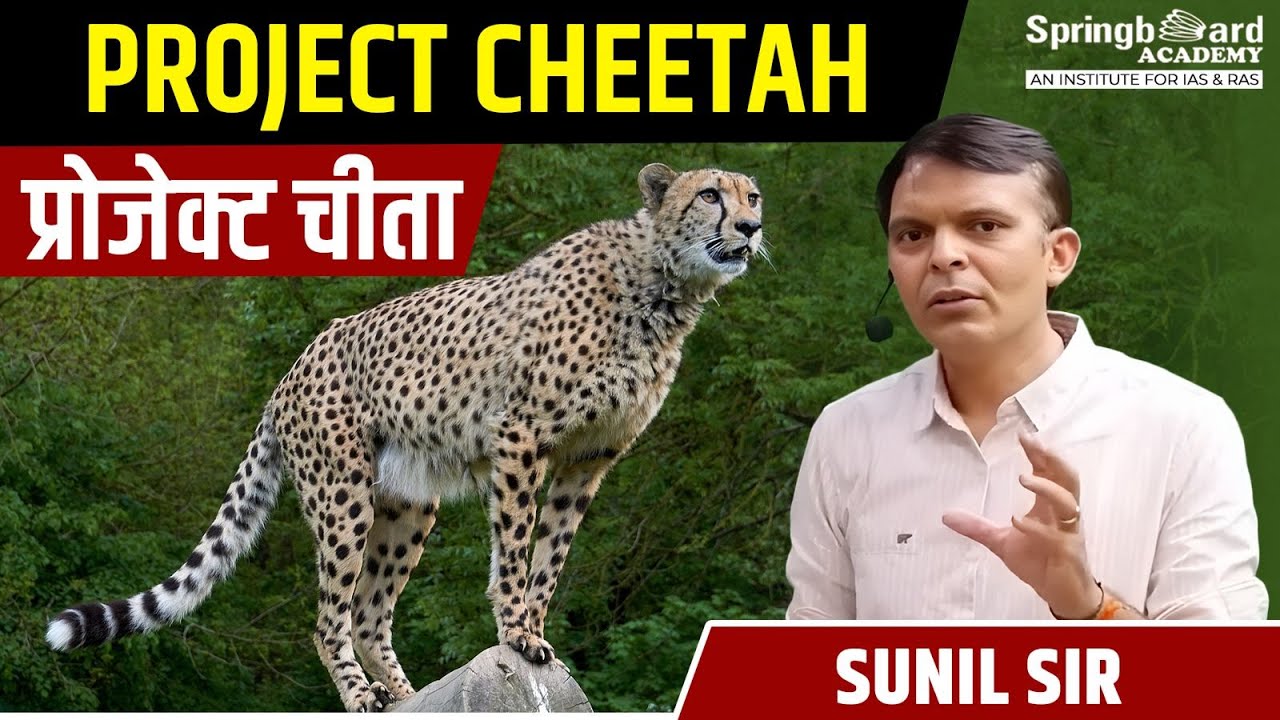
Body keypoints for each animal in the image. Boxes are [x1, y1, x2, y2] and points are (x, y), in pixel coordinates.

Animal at [44, 162, 766, 712]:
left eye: (751, 196)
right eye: (710, 194)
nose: (752, 228)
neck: (663, 287)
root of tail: (290, 371)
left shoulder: (589, 457)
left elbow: (551, 554)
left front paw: (532, 631)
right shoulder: (521, 435)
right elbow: (515, 547)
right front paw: (515, 631)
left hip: (409, 502)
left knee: (368, 611)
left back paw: (409, 693)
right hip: (343, 493)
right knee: (329, 617)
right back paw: (363, 696)